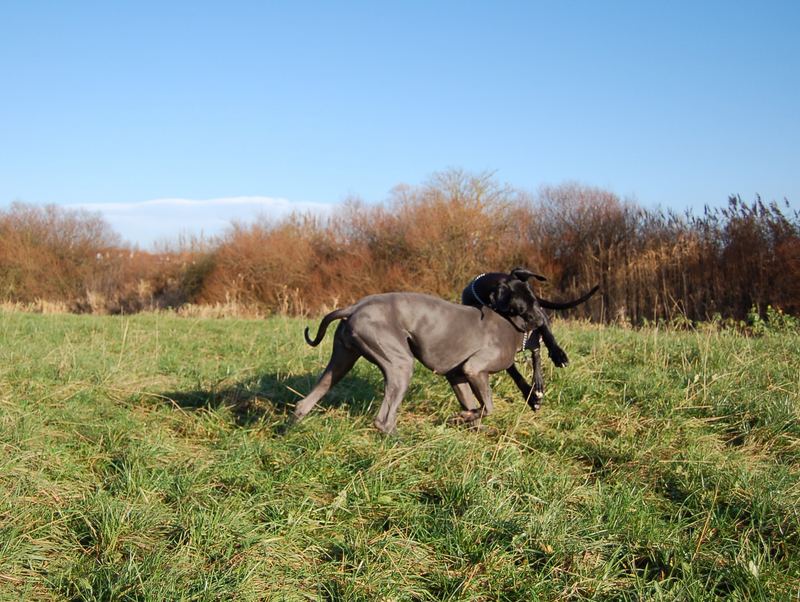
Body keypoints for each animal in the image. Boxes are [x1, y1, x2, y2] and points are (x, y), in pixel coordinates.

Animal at [294, 290, 544, 432]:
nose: (542, 320)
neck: (513, 326)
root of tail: (355, 306)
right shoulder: (474, 369)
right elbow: (488, 407)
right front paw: (464, 418)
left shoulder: (457, 376)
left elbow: (473, 406)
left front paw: (466, 421)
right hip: (400, 364)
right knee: (384, 420)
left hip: (341, 360)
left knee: (305, 402)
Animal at [460, 266, 596, 408]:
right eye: (520, 309)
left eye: (535, 302)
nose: (540, 321)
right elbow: (515, 373)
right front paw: (530, 397)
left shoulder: (540, 315)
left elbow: (548, 336)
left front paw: (558, 355)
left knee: (537, 354)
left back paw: (539, 381)